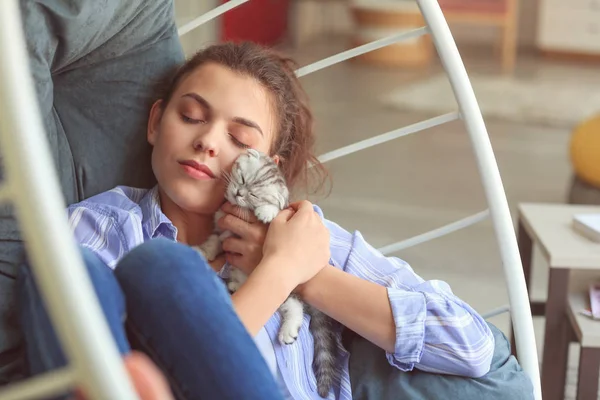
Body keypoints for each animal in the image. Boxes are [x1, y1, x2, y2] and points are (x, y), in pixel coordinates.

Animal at [196, 149, 338, 396]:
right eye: (242, 179)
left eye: (254, 195)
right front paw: (203, 251)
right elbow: (214, 241)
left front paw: (266, 212)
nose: (238, 193)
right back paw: (235, 283)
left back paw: (288, 331)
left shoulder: (285, 213)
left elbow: (276, 211)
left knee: (295, 307)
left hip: (287, 287)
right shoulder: (221, 229)